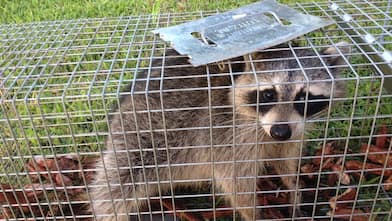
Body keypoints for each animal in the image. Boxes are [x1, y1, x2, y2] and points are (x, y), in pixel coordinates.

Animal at [90, 42, 350, 220]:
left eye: (304, 97)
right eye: (268, 94)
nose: (279, 132)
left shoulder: (293, 130)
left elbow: (284, 158)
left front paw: (294, 186)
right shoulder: (226, 132)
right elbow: (236, 184)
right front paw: (255, 213)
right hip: (142, 129)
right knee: (116, 184)